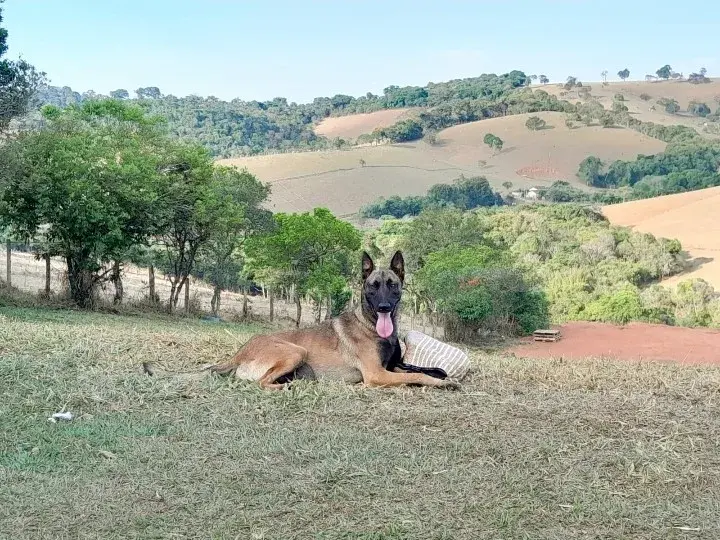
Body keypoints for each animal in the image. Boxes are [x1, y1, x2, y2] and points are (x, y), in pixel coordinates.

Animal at [143, 251, 458, 390]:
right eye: (372, 286)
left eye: (392, 285)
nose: (383, 307)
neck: (372, 326)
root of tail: (239, 353)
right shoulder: (377, 375)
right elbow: (417, 376)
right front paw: (443, 383)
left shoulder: (392, 367)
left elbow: (422, 369)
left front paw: (442, 375)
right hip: (296, 351)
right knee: (261, 383)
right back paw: (287, 387)